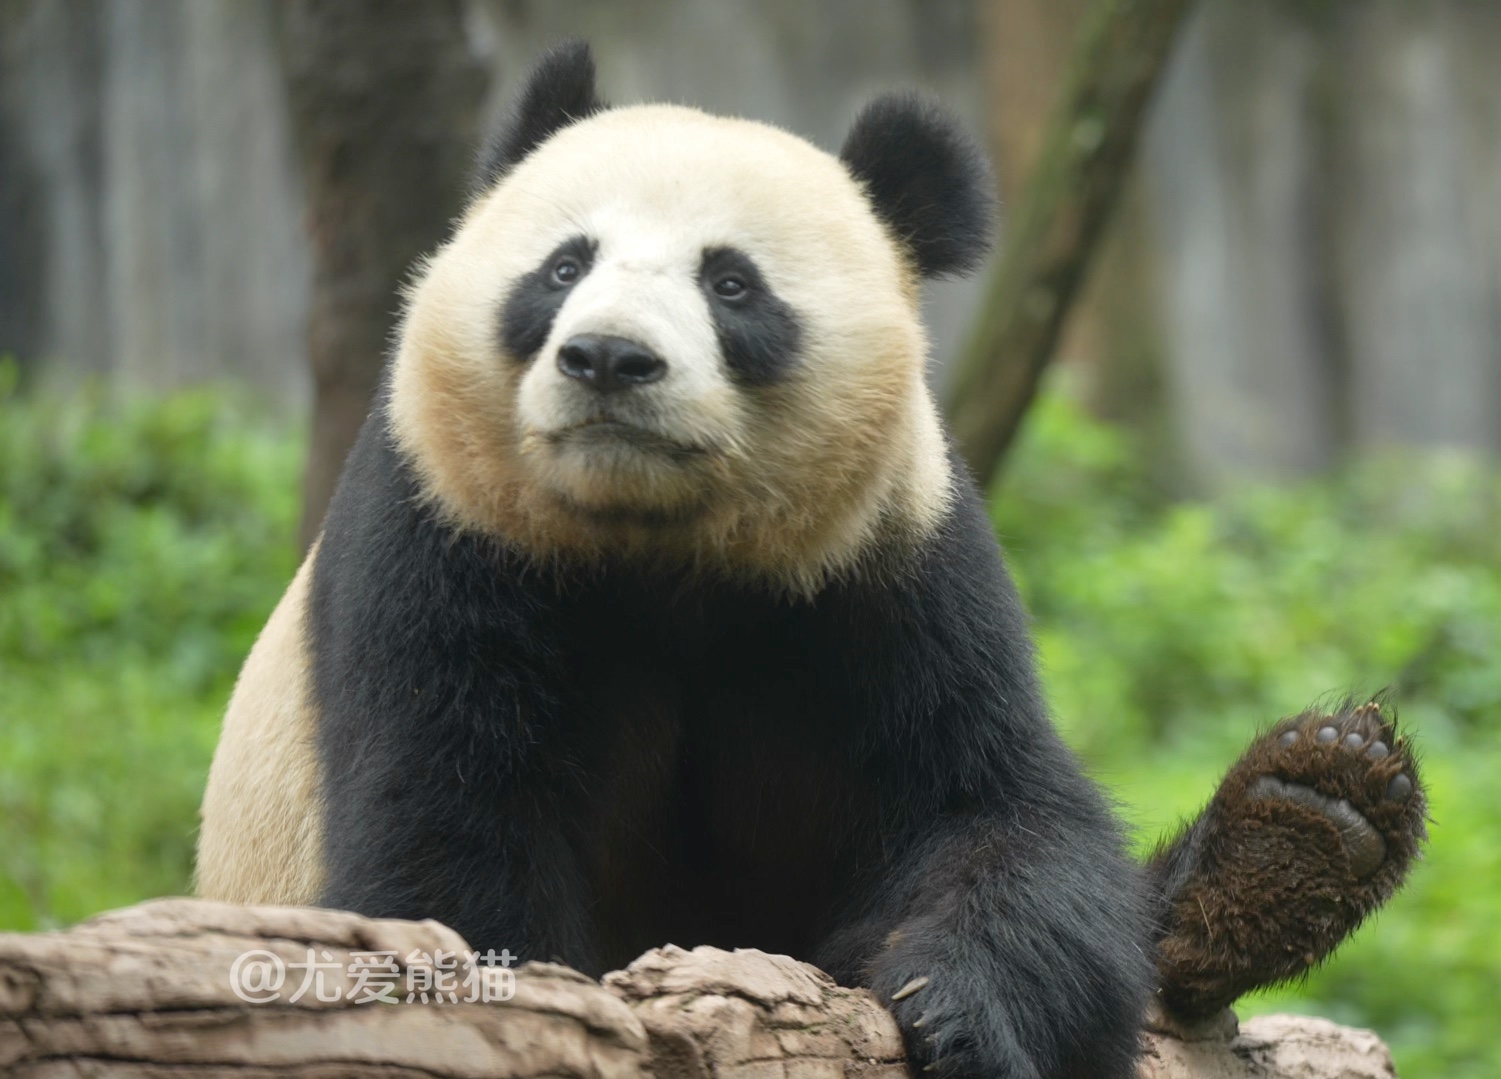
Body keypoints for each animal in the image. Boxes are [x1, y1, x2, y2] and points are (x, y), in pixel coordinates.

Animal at [193, 42, 1422, 1079]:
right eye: (561, 265)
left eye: (730, 283)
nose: (608, 359)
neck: (657, 542)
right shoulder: (442, 539)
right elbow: (441, 832)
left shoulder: (890, 566)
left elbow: (994, 812)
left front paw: (959, 1011)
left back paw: (1305, 822)